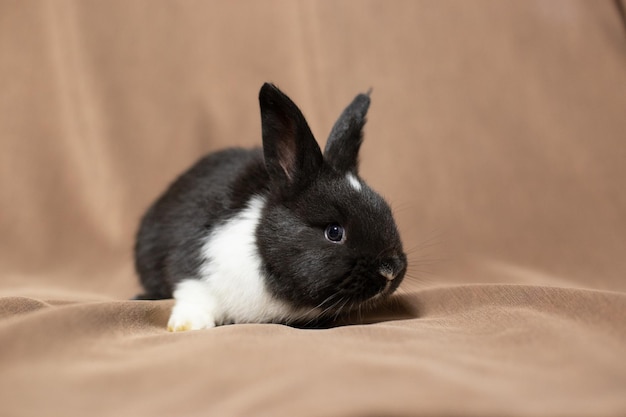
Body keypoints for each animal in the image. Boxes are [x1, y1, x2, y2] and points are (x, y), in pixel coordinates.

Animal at [134, 82, 408, 332]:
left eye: (386, 211)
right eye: (334, 232)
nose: (390, 270)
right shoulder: (194, 266)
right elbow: (193, 294)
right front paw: (188, 325)